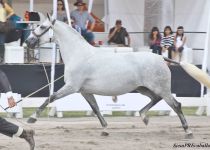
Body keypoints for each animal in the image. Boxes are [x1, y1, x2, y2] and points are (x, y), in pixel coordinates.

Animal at [25, 14, 210, 138]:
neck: (79, 55)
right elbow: (95, 108)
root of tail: (160, 57)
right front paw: (105, 129)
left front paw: (32, 119)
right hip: (143, 88)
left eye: (42, 27)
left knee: (176, 105)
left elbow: (50, 97)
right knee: (155, 99)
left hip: (161, 88)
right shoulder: (85, 91)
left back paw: (188, 131)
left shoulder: (72, 87)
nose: (28, 42)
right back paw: (144, 117)